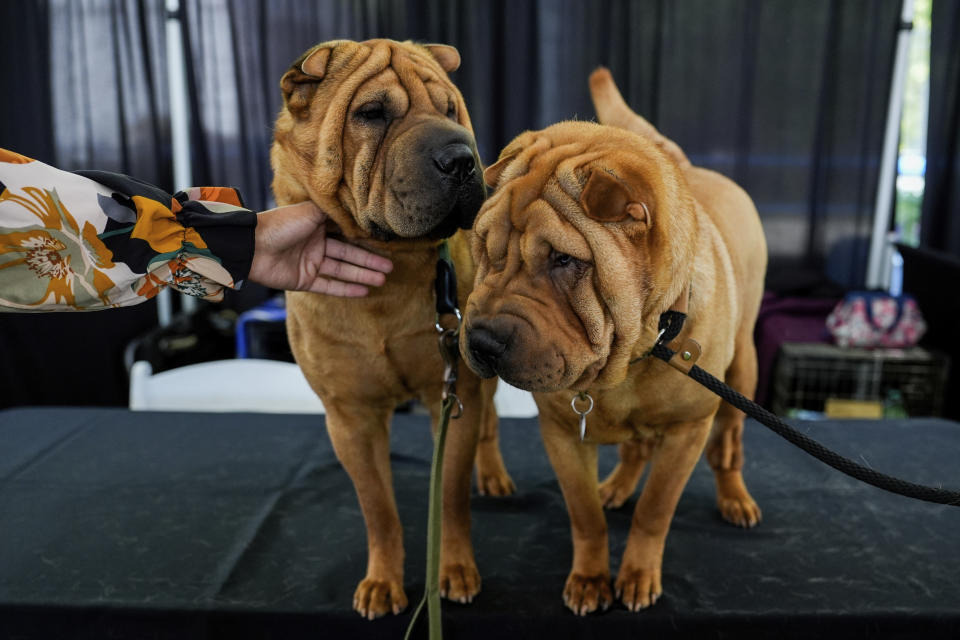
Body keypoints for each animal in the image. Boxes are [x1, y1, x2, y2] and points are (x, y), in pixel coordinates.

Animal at [270, 38, 512, 620]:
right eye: (372, 113)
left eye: (450, 110)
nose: (462, 158)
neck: (390, 271)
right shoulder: (351, 416)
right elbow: (378, 507)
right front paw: (383, 582)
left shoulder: (453, 393)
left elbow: (450, 496)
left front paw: (453, 570)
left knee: (491, 423)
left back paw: (493, 474)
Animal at [462, 70, 768, 616]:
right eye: (485, 247)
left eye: (564, 260)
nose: (482, 341)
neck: (638, 349)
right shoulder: (562, 432)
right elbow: (584, 514)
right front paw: (589, 580)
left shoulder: (688, 430)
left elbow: (655, 510)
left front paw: (638, 575)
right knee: (633, 448)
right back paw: (617, 486)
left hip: (742, 373)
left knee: (728, 442)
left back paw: (734, 498)